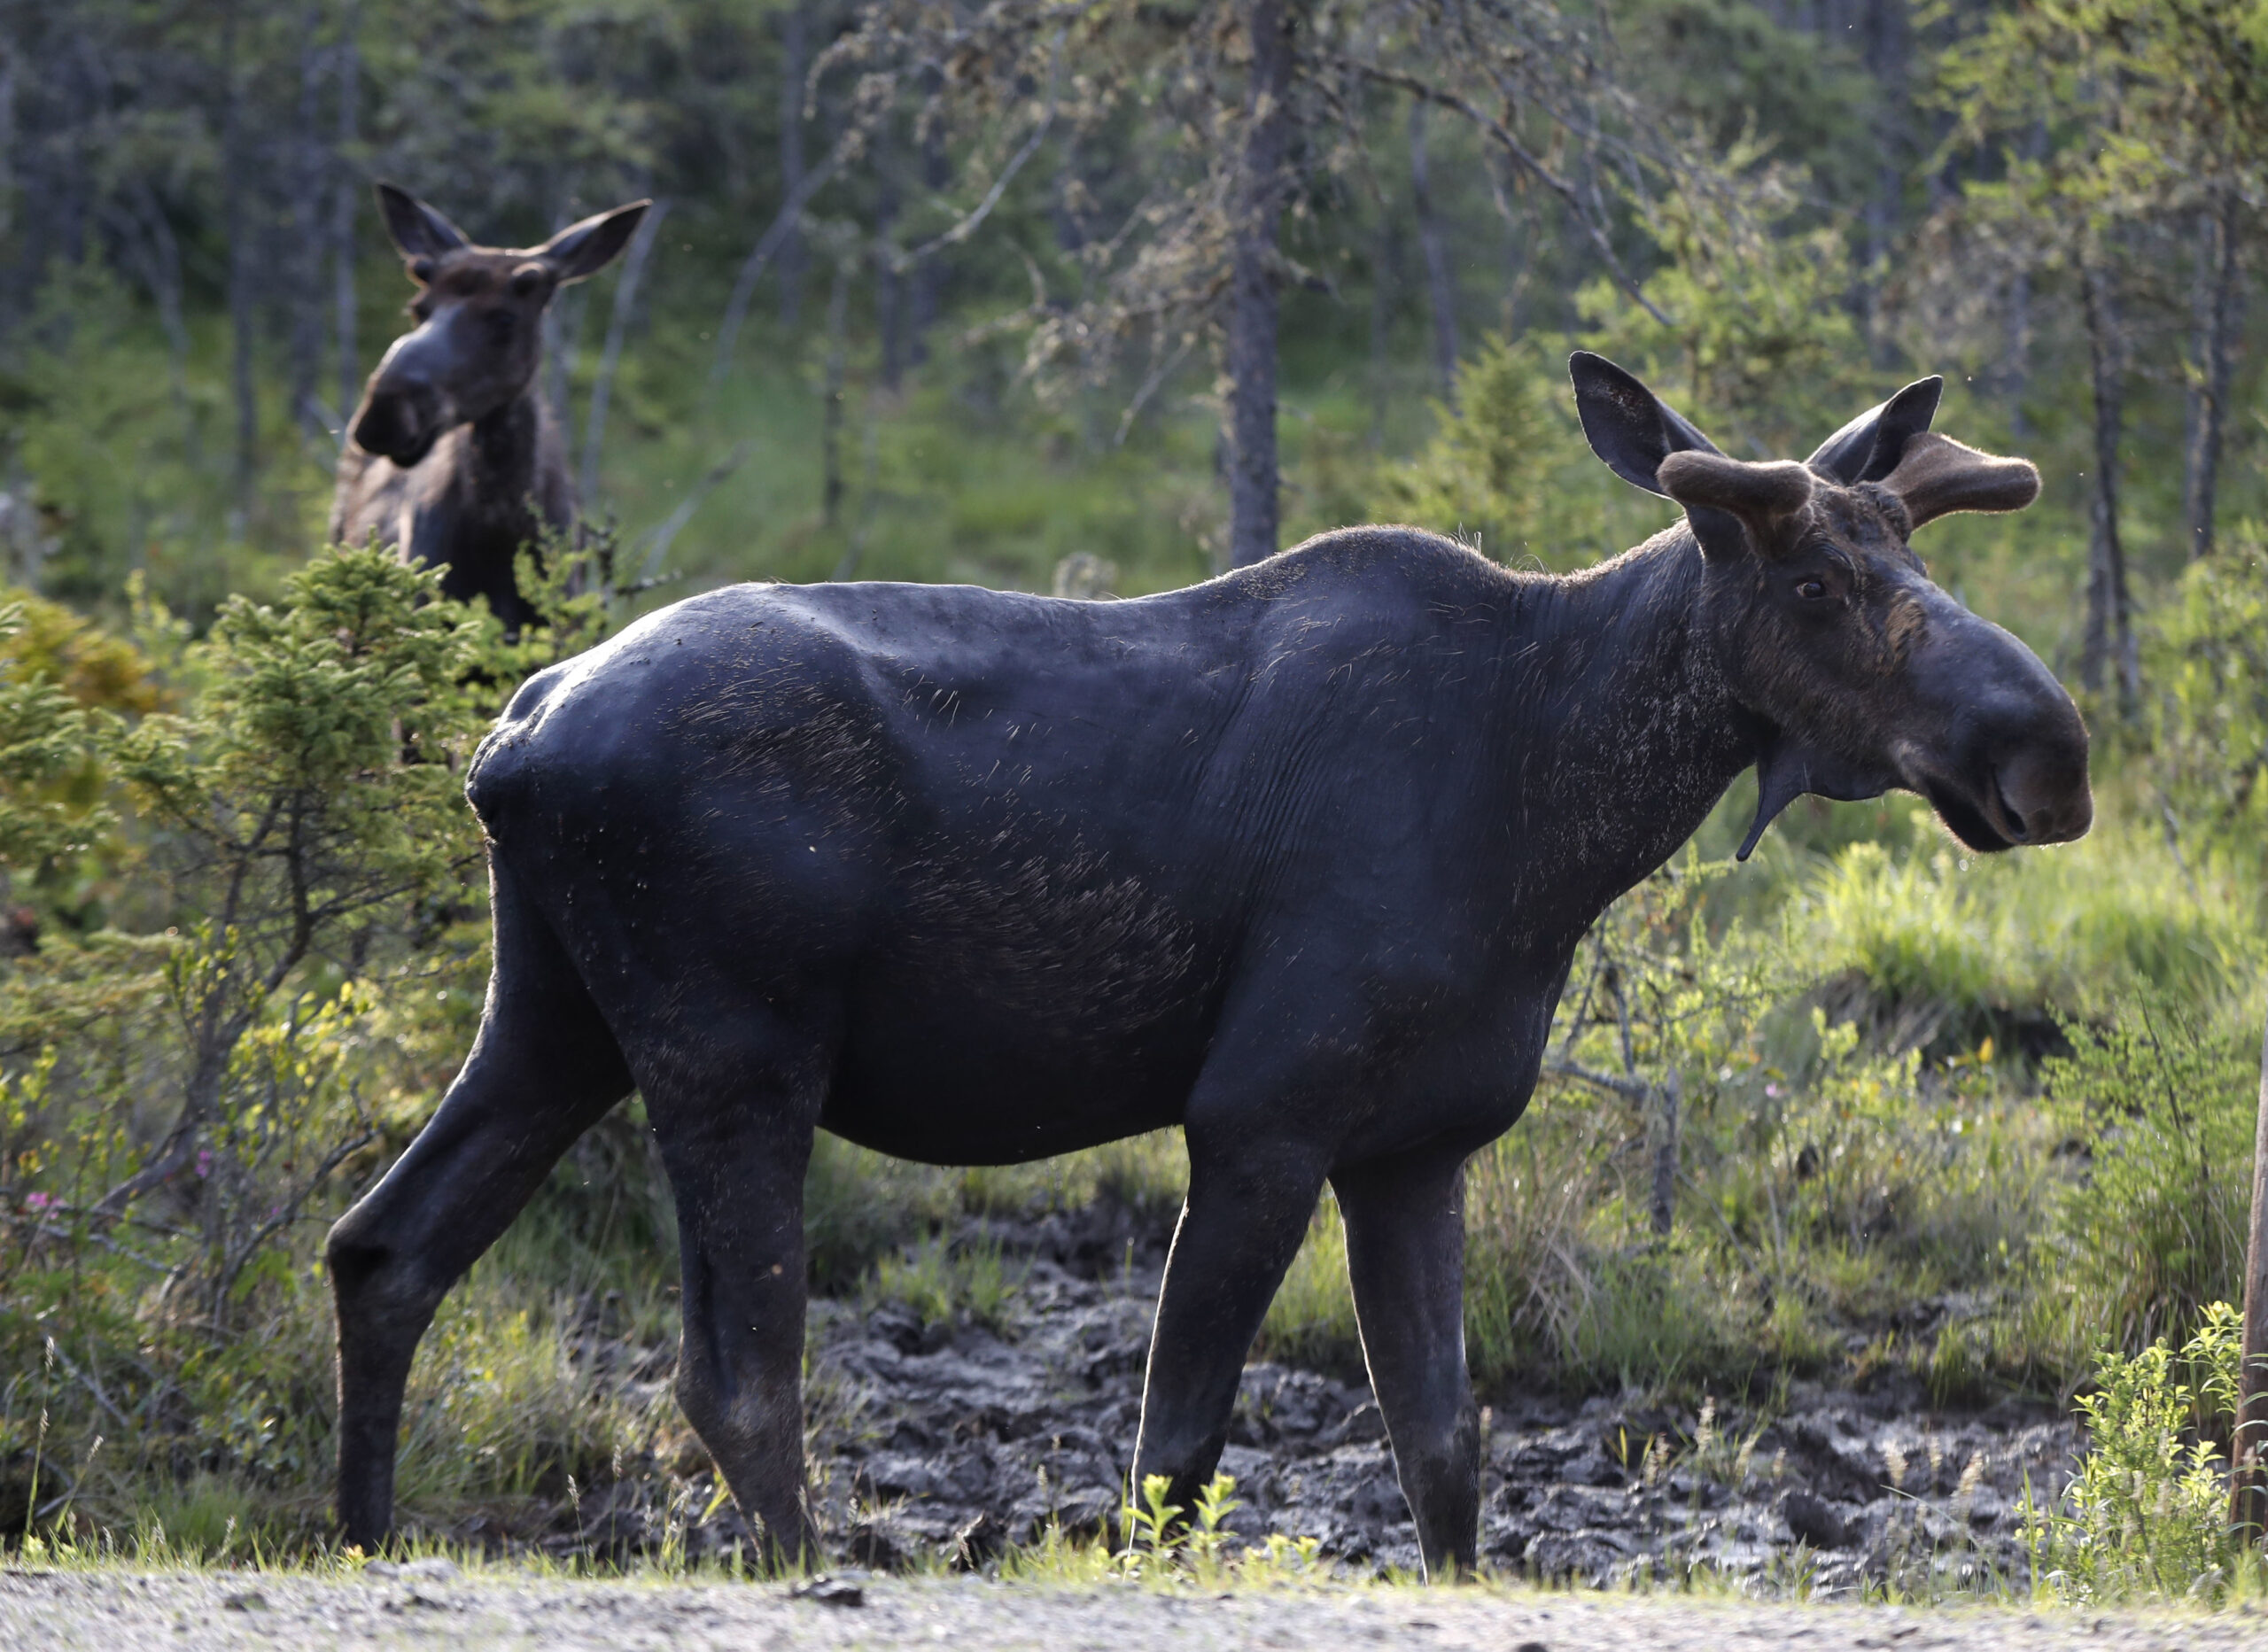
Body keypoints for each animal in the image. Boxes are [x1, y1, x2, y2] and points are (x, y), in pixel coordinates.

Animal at [324, 358, 2086, 1568]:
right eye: (1817, 581)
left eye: (1922, 560)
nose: (2049, 752)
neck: (1560, 810)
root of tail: (510, 742)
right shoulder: (1260, 1118)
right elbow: (1171, 1456)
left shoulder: (1415, 1145)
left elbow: (1445, 1453)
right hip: (731, 1055)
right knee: (738, 1382)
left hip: (554, 1025)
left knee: (383, 1251)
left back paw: (355, 1539)